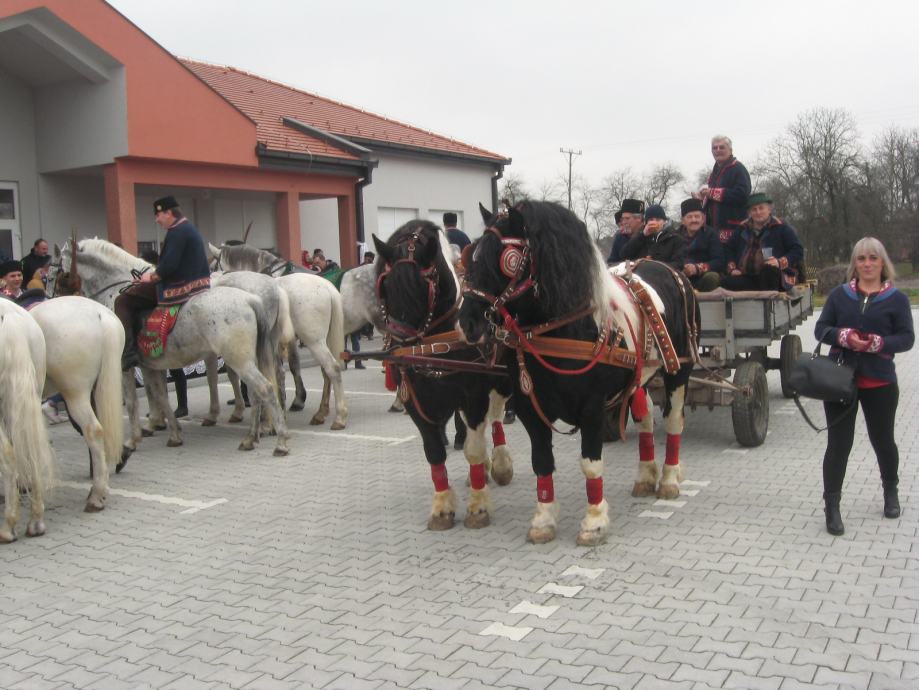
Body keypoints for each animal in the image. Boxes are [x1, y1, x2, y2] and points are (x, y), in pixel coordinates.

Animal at [59, 239, 290, 454]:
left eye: (58, 266)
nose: (58, 294)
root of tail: (253, 298)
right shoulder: (151, 363)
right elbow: (160, 393)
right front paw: (169, 429)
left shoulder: (127, 366)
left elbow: (136, 400)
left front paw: (136, 437)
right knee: (266, 384)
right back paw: (258, 432)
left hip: (241, 356)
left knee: (264, 387)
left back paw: (274, 435)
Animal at [374, 219, 516, 528]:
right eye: (386, 286)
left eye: (421, 287)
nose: (399, 354)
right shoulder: (415, 400)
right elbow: (434, 451)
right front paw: (441, 508)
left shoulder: (473, 394)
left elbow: (473, 448)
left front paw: (478, 508)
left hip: (501, 381)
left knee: (496, 417)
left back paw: (499, 465)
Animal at [460, 202, 696, 544]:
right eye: (473, 255)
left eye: (503, 258)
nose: (467, 322)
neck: (568, 327)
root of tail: (668, 268)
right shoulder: (530, 408)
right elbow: (542, 462)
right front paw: (544, 519)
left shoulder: (592, 408)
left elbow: (590, 464)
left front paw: (594, 522)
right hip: (638, 378)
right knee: (646, 417)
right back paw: (645, 476)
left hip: (680, 373)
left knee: (675, 420)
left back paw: (668, 479)